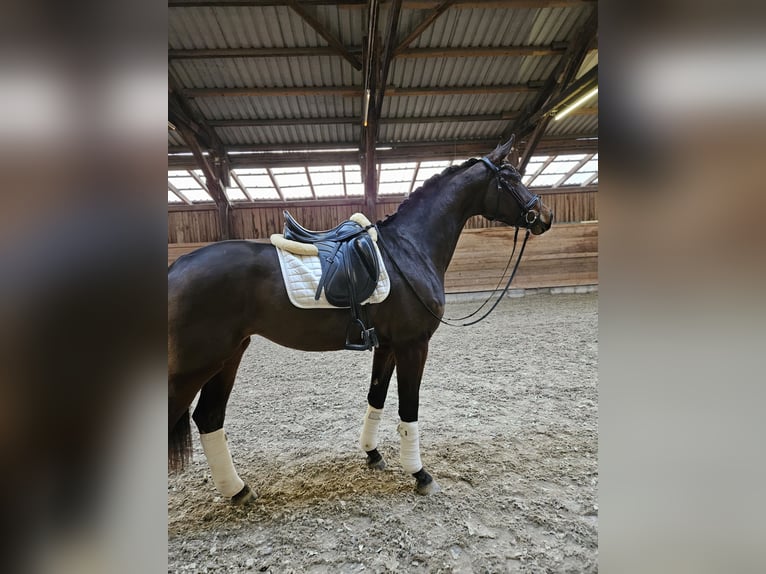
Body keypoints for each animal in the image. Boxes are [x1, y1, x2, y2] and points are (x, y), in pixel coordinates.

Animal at [170, 138, 552, 504]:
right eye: (512, 177)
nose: (544, 215)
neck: (408, 250)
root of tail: (176, 268)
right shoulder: (413, 346)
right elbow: (408, 408)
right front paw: (420, 474)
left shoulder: (386, 347)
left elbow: (376, 398)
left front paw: (373, 454)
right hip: (197, 366)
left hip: (229, 356)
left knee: (209, 417)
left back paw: (238, 490)